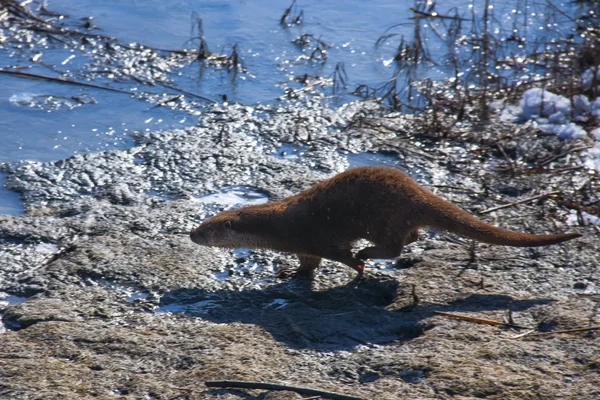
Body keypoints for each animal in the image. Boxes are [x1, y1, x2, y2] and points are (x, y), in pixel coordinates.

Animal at [191, 166, 580, 278]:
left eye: (207, 229)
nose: (191, 234)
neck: (281, 227)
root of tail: (417, 191)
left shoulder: (316, 237)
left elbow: (339, 256)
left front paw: (358, 265)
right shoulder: (305, 247)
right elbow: (307, 266)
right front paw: (289, 273)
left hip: (386, 217)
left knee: (394, 246)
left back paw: (369, 252)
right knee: (414, 236)